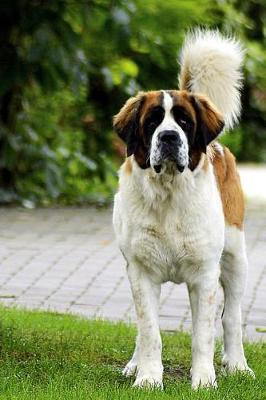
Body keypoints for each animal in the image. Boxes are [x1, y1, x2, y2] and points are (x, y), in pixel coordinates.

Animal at [111, 30, 254, 388]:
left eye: (184, 122)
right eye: (151, 122)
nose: (169, 137)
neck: (169, 194)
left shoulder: (204, 275)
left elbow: (203, 333)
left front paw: (204, 381)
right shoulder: (141, 271)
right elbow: (149, 330)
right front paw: (148, 378)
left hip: (235, 256)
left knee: (232, 317)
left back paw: (237, 365)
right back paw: (134, 365)